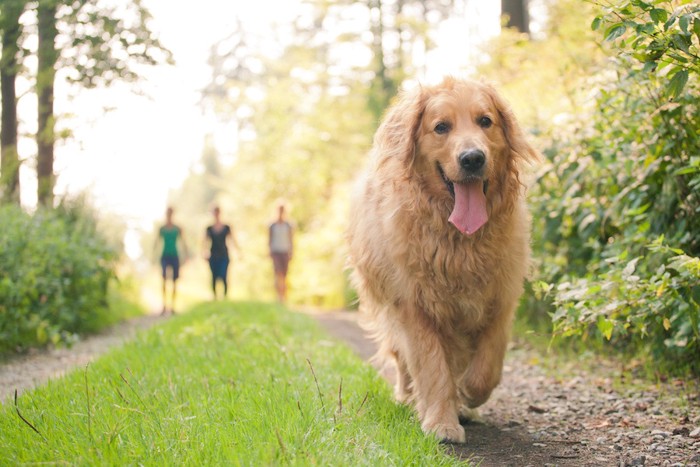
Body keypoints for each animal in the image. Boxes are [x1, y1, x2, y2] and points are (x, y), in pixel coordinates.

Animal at [348, 77, 540, 442]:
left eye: (485, 121)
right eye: (441, 127)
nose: (472, 159)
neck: (460, 241)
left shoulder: (499, 299)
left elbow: (487, 366)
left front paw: (468, 396)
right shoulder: (416, 306)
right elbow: (433, 367)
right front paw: (441, 422)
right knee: (403, 360)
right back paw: (408, 396)